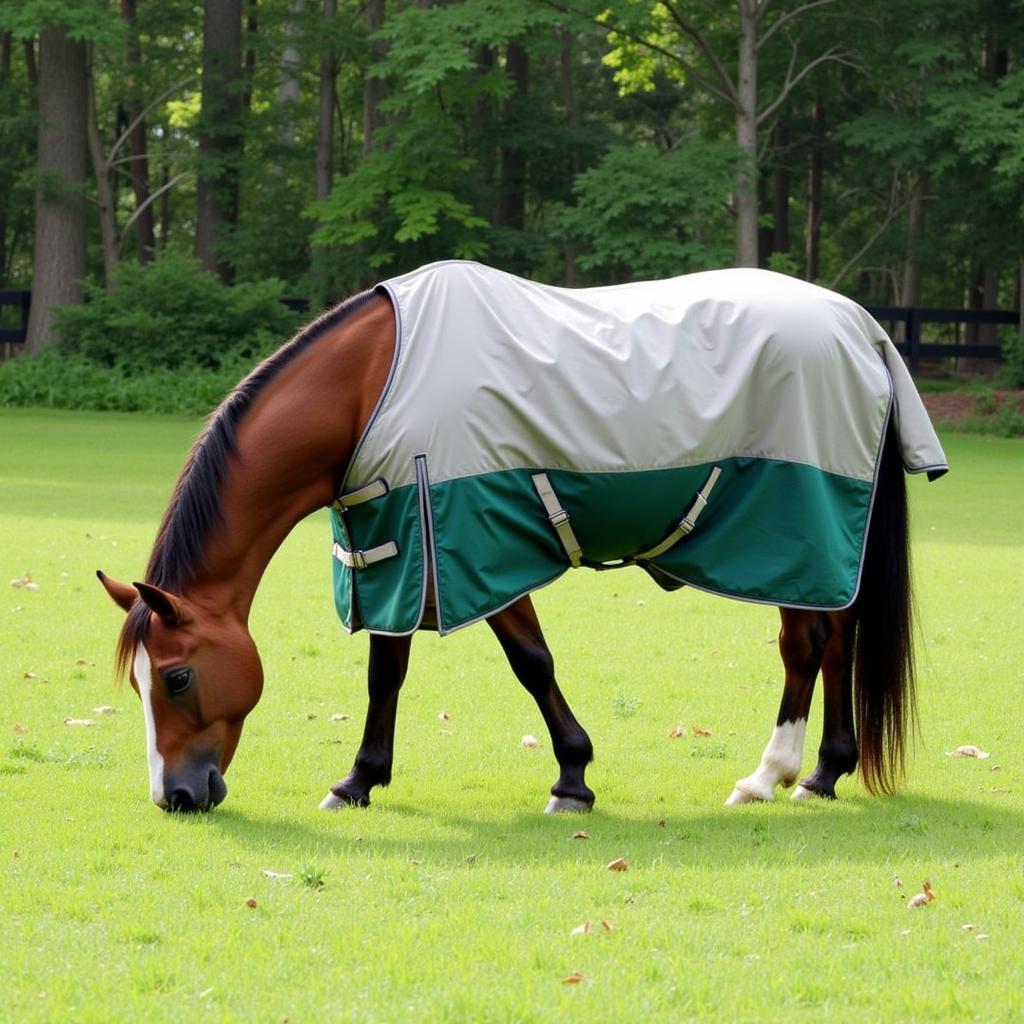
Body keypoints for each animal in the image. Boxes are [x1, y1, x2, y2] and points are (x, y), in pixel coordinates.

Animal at [96, 262, 942, 815]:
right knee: (838, 639)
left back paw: (770, 775)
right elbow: (388, 673)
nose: (175, 796)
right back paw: (826, 772)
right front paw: (360, 780)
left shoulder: (470, 545)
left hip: (794, 530)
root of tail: (862, 329)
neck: (373, 386)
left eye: (175, 677)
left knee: (807, 646)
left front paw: (572, 779)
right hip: (824, 541)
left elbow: (530, 663)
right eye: (139, 684)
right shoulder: (399, 545)